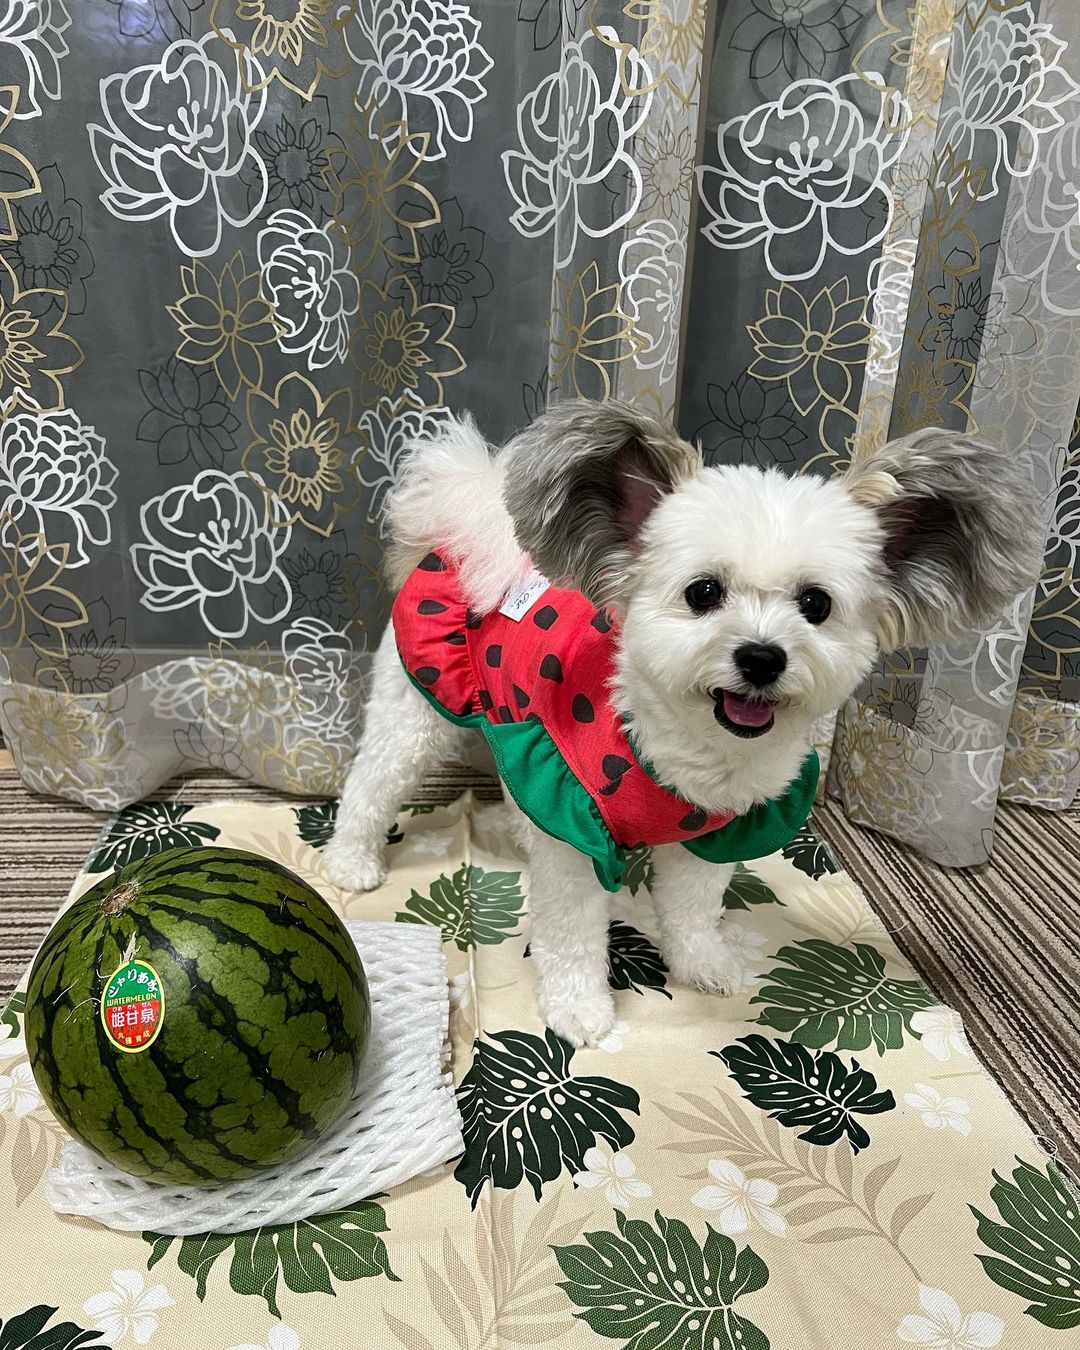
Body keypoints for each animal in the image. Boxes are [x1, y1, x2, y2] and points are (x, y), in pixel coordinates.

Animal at [325, 394, 1042, 1047]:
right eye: (703, 593)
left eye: (816, 604)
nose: (761, 657)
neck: (686, 756)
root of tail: (461, 526)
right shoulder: (574, 819)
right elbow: (571, 934)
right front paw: (578, 1007)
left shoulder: (715, 830)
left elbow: (694, 908)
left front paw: (701, 962)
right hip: (415, 712)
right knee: (371, 784)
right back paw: (351, 862)